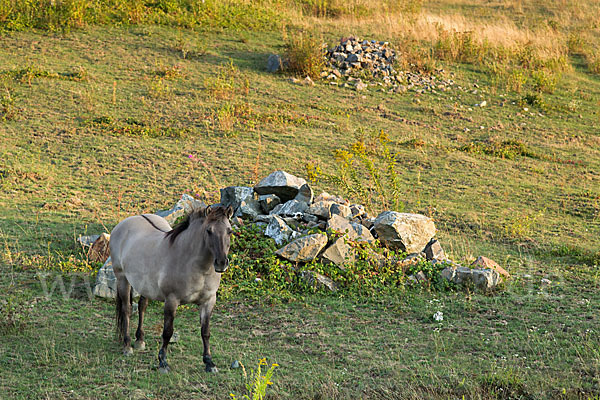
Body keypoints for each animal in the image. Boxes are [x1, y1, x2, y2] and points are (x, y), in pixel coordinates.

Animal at [109, 205, 233, 374]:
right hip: (123, 279)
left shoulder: (208, 302)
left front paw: (209, 362)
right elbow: (167, 331)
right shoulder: (171, 300)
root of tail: (124, 224)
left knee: (142, 307)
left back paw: (140, 340)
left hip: (144, 286)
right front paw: (163, 362)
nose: (221, 263)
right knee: (126, 310)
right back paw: (127, 345)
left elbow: (205, 332)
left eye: (230, 231)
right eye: (209, 231)